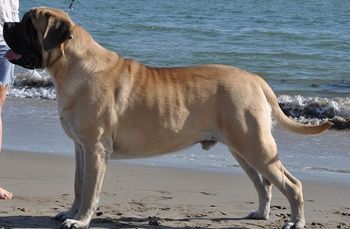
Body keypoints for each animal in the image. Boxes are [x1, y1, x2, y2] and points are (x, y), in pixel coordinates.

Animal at [3, 6, 330, 228]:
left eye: (28, 25)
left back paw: (296, 221)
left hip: (256, 146)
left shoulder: (94, 148)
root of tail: (256, 78)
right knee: (264, 184)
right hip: (243, 149)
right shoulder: (81, 148)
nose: (6, 23)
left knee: (292, 184)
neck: (73, 66)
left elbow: (88, 188)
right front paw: (70, 213)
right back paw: (260, 213)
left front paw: (80, 220)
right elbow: (77, 184)